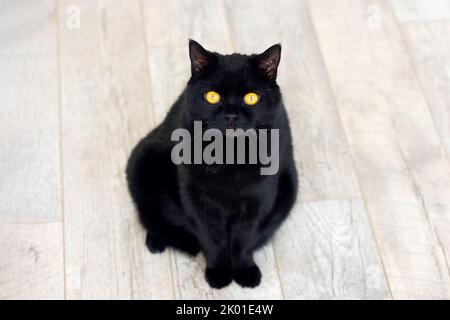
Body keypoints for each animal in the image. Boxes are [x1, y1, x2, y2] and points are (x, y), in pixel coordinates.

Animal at [125, 39, 298, 288]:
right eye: (213, 96)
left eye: (251, 98)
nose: (231, 114)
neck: (229, 156)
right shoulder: (196, 199)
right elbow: (212, 240)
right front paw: (218, 274)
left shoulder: (258, 201)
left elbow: (243, 240)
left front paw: (245, 272)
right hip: (141, 162)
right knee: (149, 214)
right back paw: (157, 242)